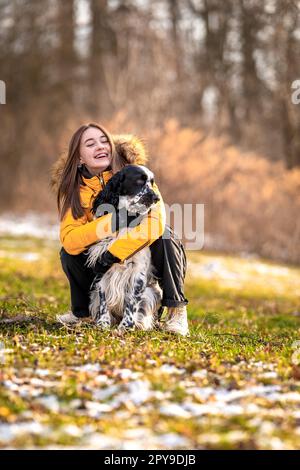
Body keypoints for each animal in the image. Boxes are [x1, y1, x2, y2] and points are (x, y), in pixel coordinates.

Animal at [85, 164, 163, 330]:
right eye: (139, 180)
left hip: (151, 292)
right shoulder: (103, 266)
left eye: (152, 182)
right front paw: (103, 323)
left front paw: (126, 326)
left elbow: (132, 302)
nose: (156, 198)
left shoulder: (137, 272)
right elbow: (103, 299)